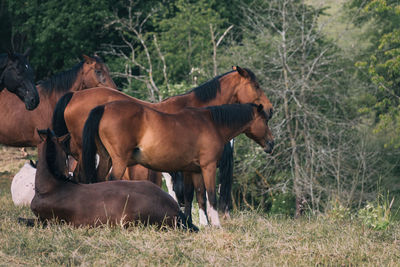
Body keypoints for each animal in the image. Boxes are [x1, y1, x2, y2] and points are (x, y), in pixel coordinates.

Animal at [82, 101, 274, 227]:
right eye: (265, 121)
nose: (271, 144)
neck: (212, 124)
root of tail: (104, 107)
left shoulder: (194, 170)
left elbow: (197, 196)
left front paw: (200, 224)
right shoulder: (208, 167)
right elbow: (211, 195)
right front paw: (216, 225)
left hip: (106, 159)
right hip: (119, 162)